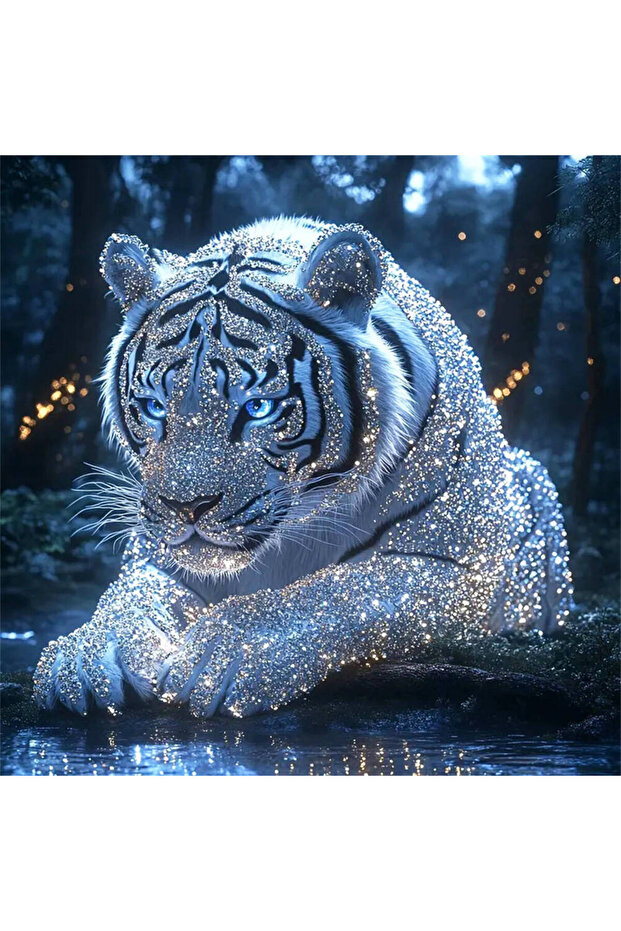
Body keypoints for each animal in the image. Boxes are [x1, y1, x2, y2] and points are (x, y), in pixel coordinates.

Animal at [33, 216, 573, 718]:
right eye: (153, 407)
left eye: (257, 408)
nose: (185, 507)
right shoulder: (156, 556)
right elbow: (129, 599)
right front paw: (84, 656)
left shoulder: (461, 567)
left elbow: (343, 590)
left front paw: (226, 652)